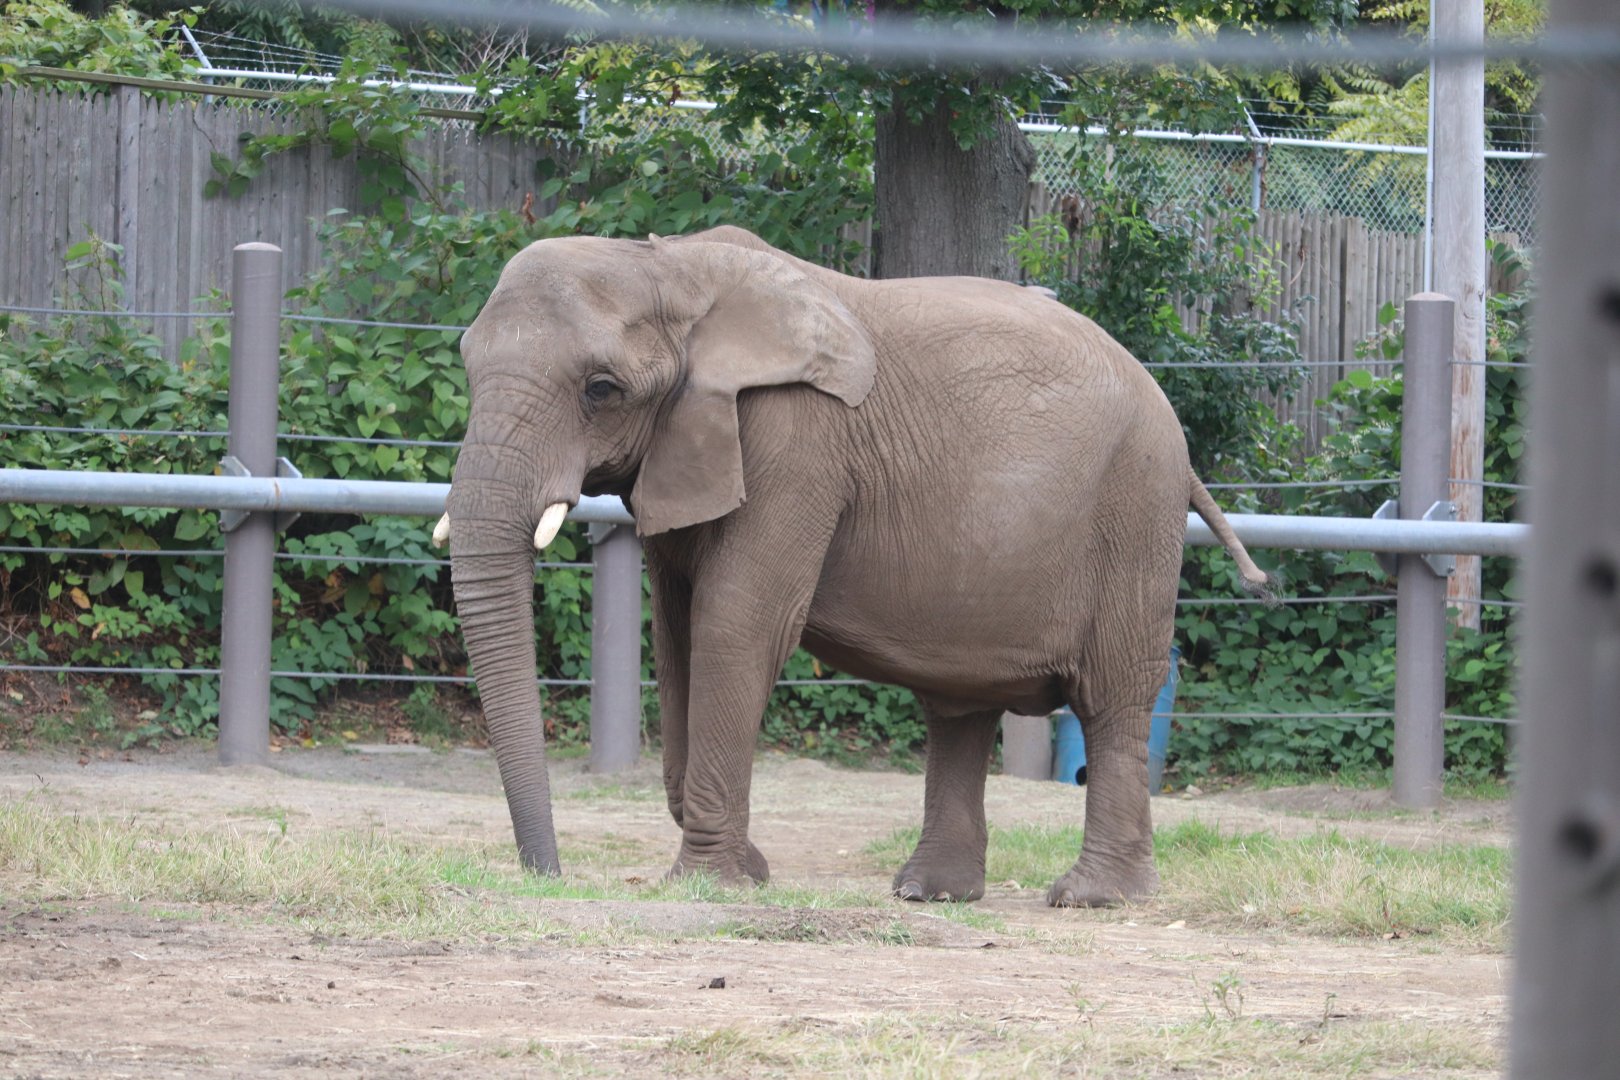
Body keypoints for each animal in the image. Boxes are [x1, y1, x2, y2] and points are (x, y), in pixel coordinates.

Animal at [437, 225, 1269, 906]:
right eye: (467, 370)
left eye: (601, 389)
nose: (548, 876)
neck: (668, 264)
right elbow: (676, 636)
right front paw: (749, 871)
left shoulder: (795, 439)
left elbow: (735, 625)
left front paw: (711, 885)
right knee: (961, 708)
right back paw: (932, 893)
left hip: (1137, 509)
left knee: (1114, 699)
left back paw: (1093, 899)